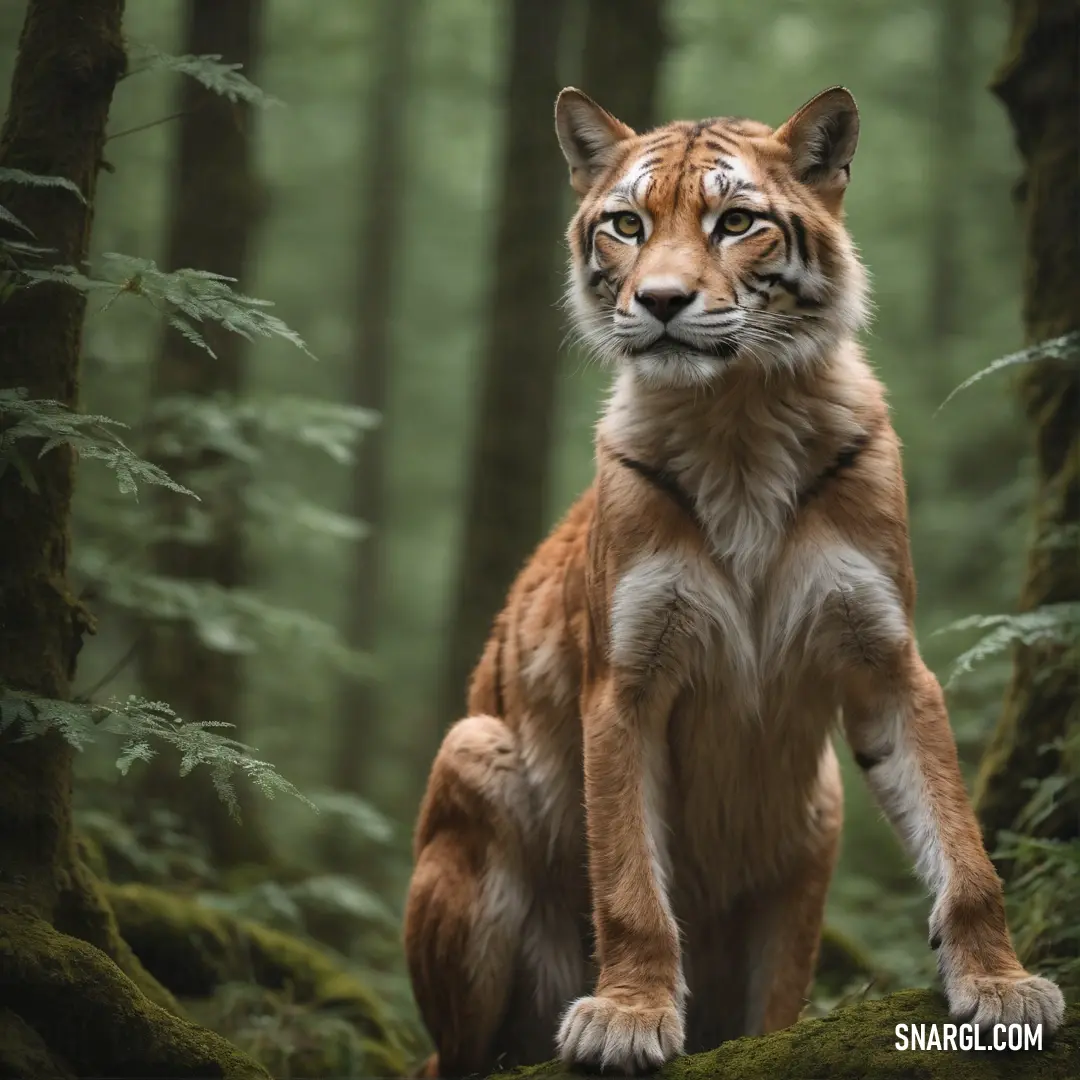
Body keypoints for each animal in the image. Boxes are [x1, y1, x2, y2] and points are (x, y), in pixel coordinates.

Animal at [399, 86, 1062, 1080]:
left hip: (813, 830)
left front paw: (1001, 984)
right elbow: (631, 880)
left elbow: (963, 847)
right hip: (474, 751)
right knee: (461, 1055)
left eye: (736, 223)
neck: (739, 419)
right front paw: (630, 1014)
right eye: (627, 225)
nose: (661, 301)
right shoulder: (625, 681)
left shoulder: (886, 661)